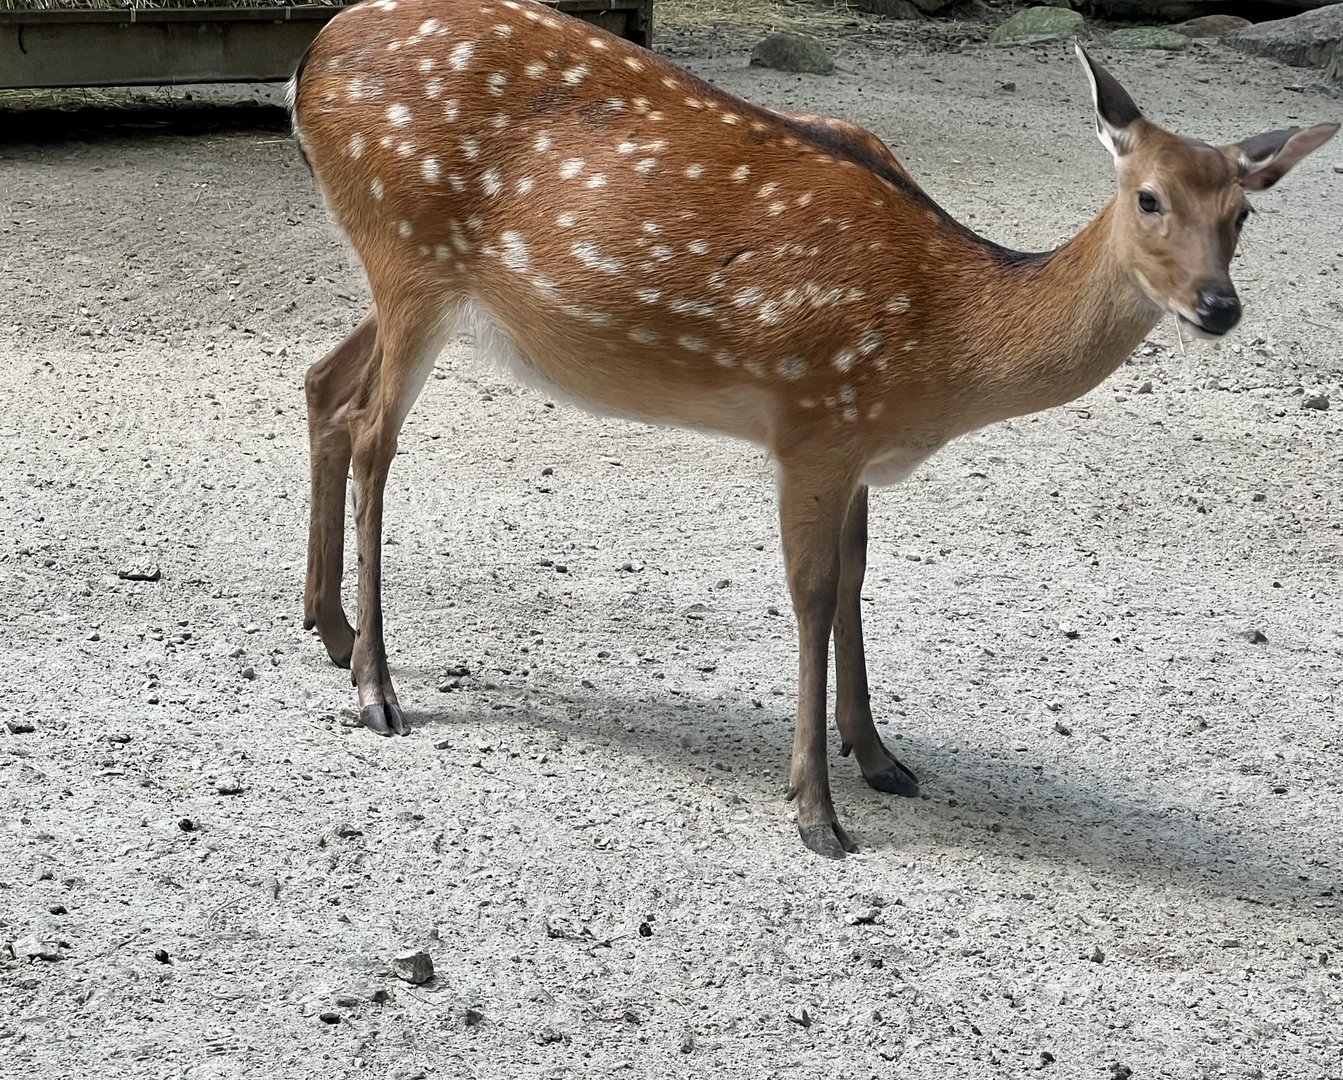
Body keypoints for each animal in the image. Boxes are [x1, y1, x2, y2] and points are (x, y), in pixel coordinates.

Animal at [290, 0, 1336, 858]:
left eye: (1243, 215)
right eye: (1147, 198)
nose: (1217, 307)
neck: (943, 348)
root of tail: (311, 58)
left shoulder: (858, 445)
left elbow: (859, 581)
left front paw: (879, 756)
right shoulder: (814, 416)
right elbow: (814, 592)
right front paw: (816, 811)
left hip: (410, 281)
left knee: (323, 386)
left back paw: (330, 629)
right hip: (409, 252)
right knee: (377, 434)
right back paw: (378, 688)